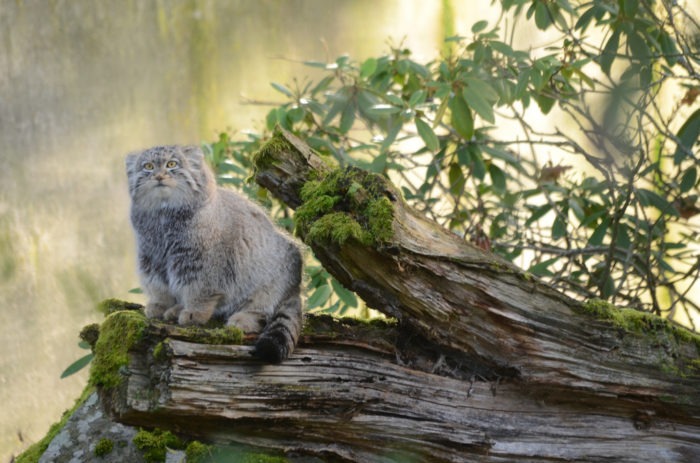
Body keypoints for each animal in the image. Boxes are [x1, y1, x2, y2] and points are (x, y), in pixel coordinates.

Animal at [127, 145, 302, 362]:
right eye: (148, 167)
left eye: (172, 164)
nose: (159, 176)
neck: (164, 217)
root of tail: (296, 286)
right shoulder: (152, 259)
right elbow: (159, 286)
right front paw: (161, 304)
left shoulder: (201, 262)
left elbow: (199, 290)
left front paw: (195, 312)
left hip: (268, 283)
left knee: (261, 309)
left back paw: (242, 318)